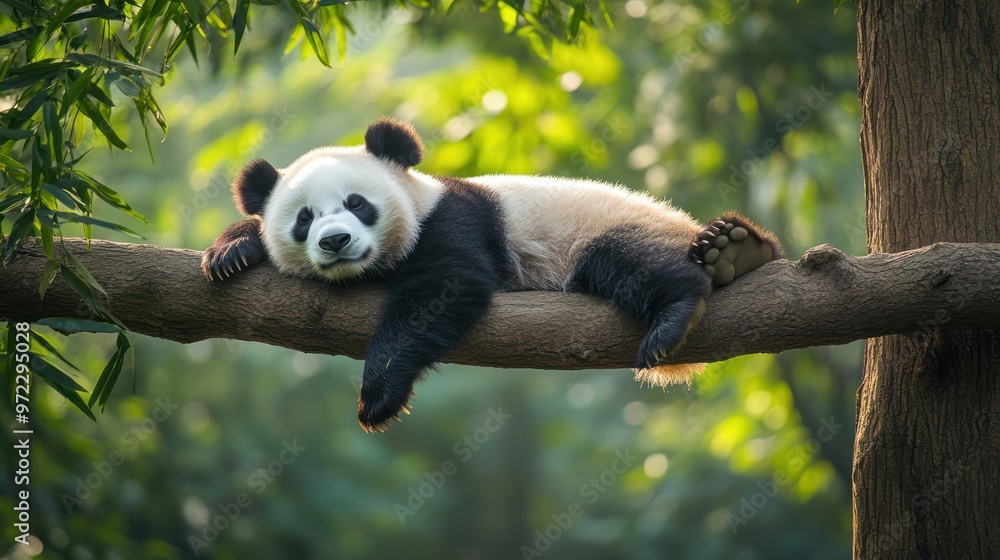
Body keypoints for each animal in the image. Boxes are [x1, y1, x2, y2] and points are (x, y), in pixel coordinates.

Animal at [202, 117, 782, 432]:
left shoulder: (454, 219)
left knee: (631, 261)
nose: (335, 241)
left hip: (608, 229)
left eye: (356, 203)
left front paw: (377, 395)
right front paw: (232, 252)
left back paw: (695, 293)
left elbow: (443, 290)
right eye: (304, 219)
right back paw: (736, 252)